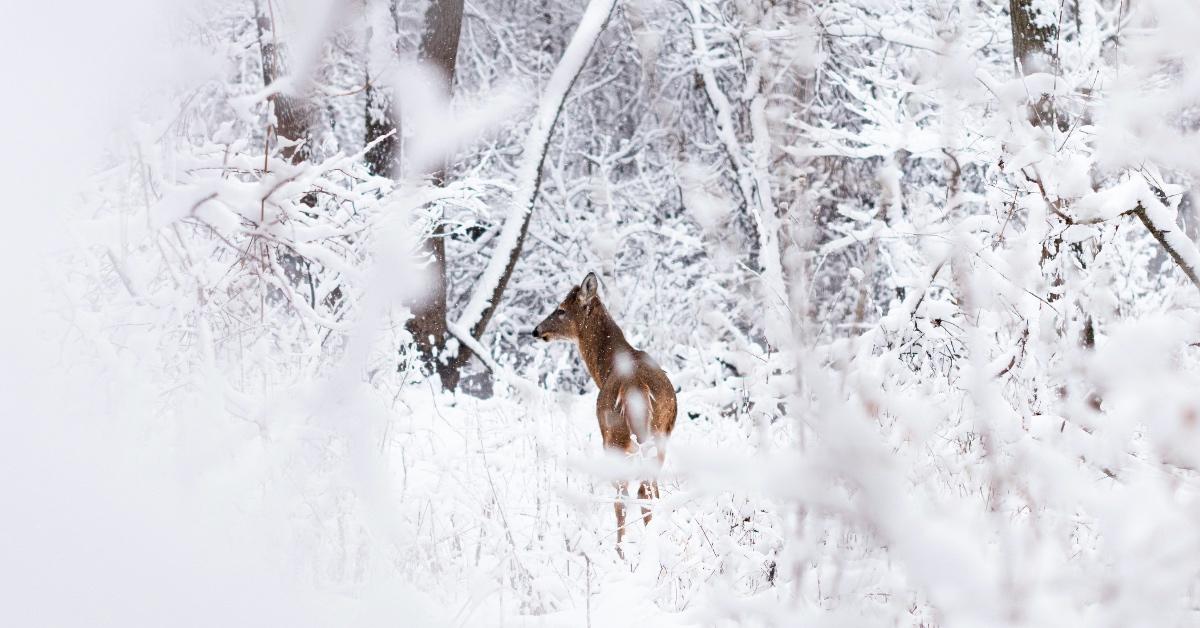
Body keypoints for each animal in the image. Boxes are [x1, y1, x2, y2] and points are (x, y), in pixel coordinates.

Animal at [532, 272, 681, 557]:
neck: (606, 368)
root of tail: (636, 387)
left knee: (626, 496)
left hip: (615, 436)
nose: (536, 330)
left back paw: (621, 552)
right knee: (650, 490)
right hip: (657, 436)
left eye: (561, 309)